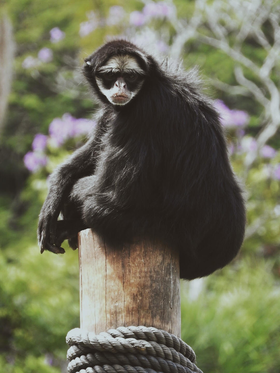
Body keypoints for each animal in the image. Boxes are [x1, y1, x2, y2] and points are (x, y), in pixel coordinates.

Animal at [37, 40, 245, 280]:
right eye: (111, 75)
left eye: (131, 76)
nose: (121, 85)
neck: (152, 85)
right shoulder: (114, 112)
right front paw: (55, 194)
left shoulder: (143, 112)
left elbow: (119, 196)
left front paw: (70, 198)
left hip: (162, 225)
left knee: (96, 208)